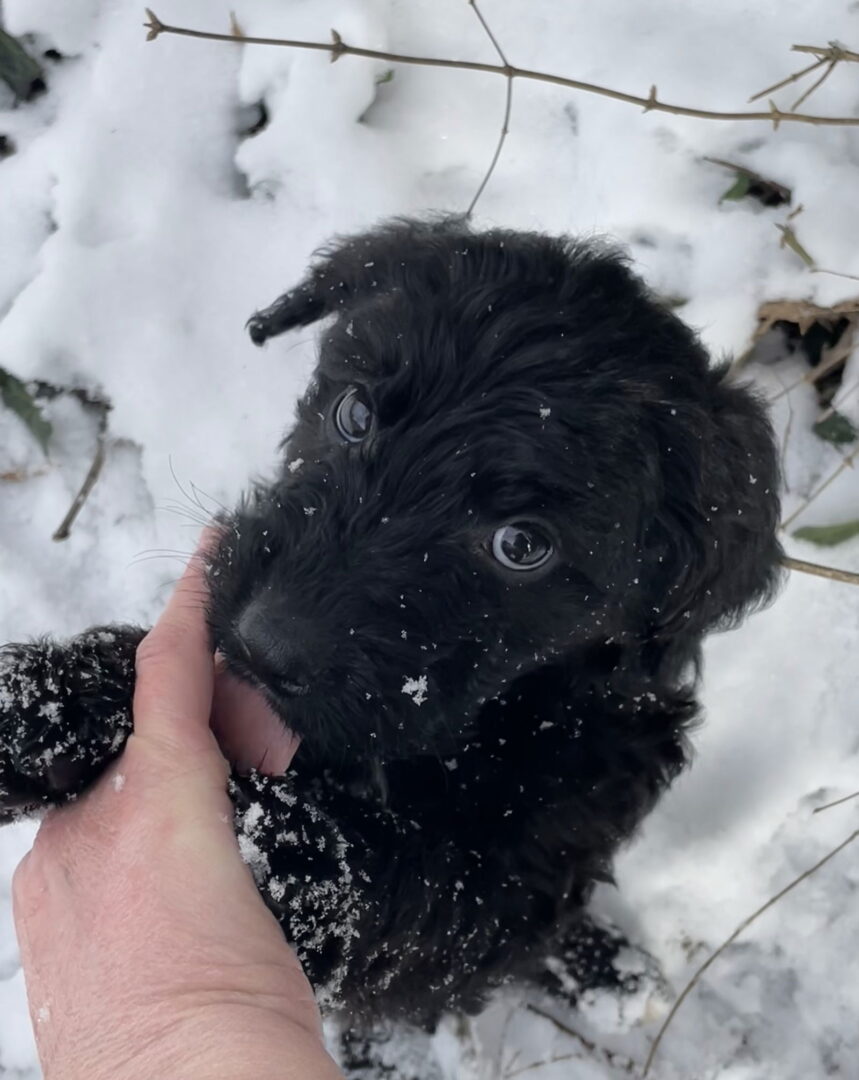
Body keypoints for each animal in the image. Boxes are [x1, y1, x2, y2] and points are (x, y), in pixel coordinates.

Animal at [0, 217, 782, 1071]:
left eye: (521, 545)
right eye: (353, 414)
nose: (264, 645)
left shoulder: (507, 876)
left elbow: (398, 884)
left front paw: (266, 839)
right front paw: (46, 701)